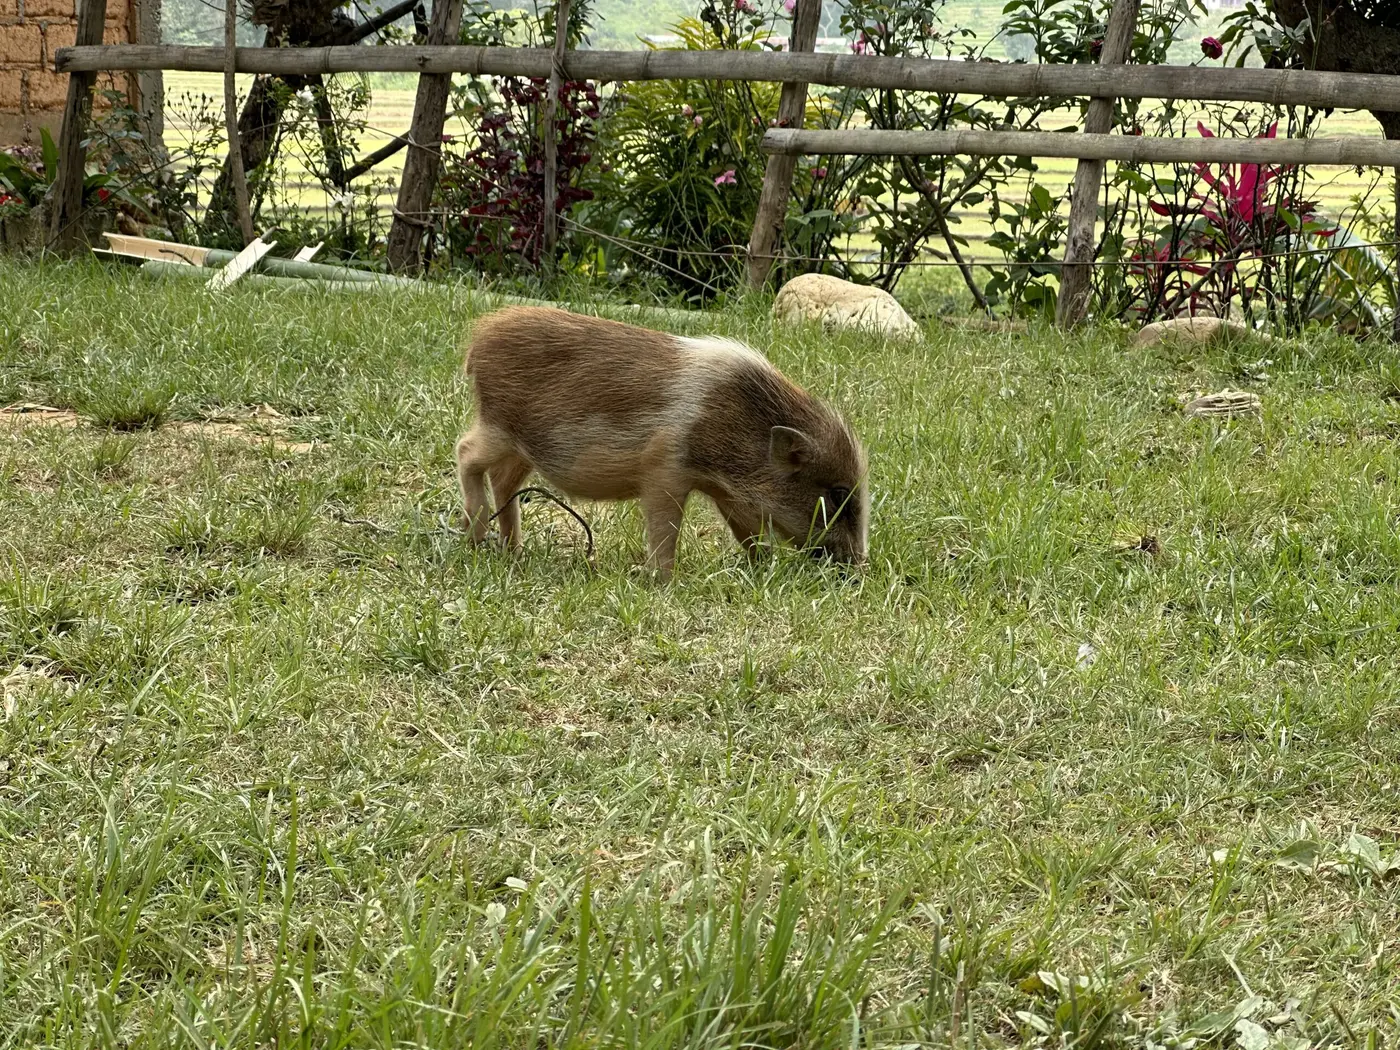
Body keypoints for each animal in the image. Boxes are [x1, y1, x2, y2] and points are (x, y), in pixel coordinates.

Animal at [455, 306, 869, 580]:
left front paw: (762, 566)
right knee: (466, 451)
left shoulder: (727, 493)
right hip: (498, 426)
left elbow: (749, 532)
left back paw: (514, 551)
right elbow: (665, 526)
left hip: (523, 448)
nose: (860, 568)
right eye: (838, 493)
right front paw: (662, 579)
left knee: (503, 481)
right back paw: (476, 538)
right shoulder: (664, 469)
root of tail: (478, 341)